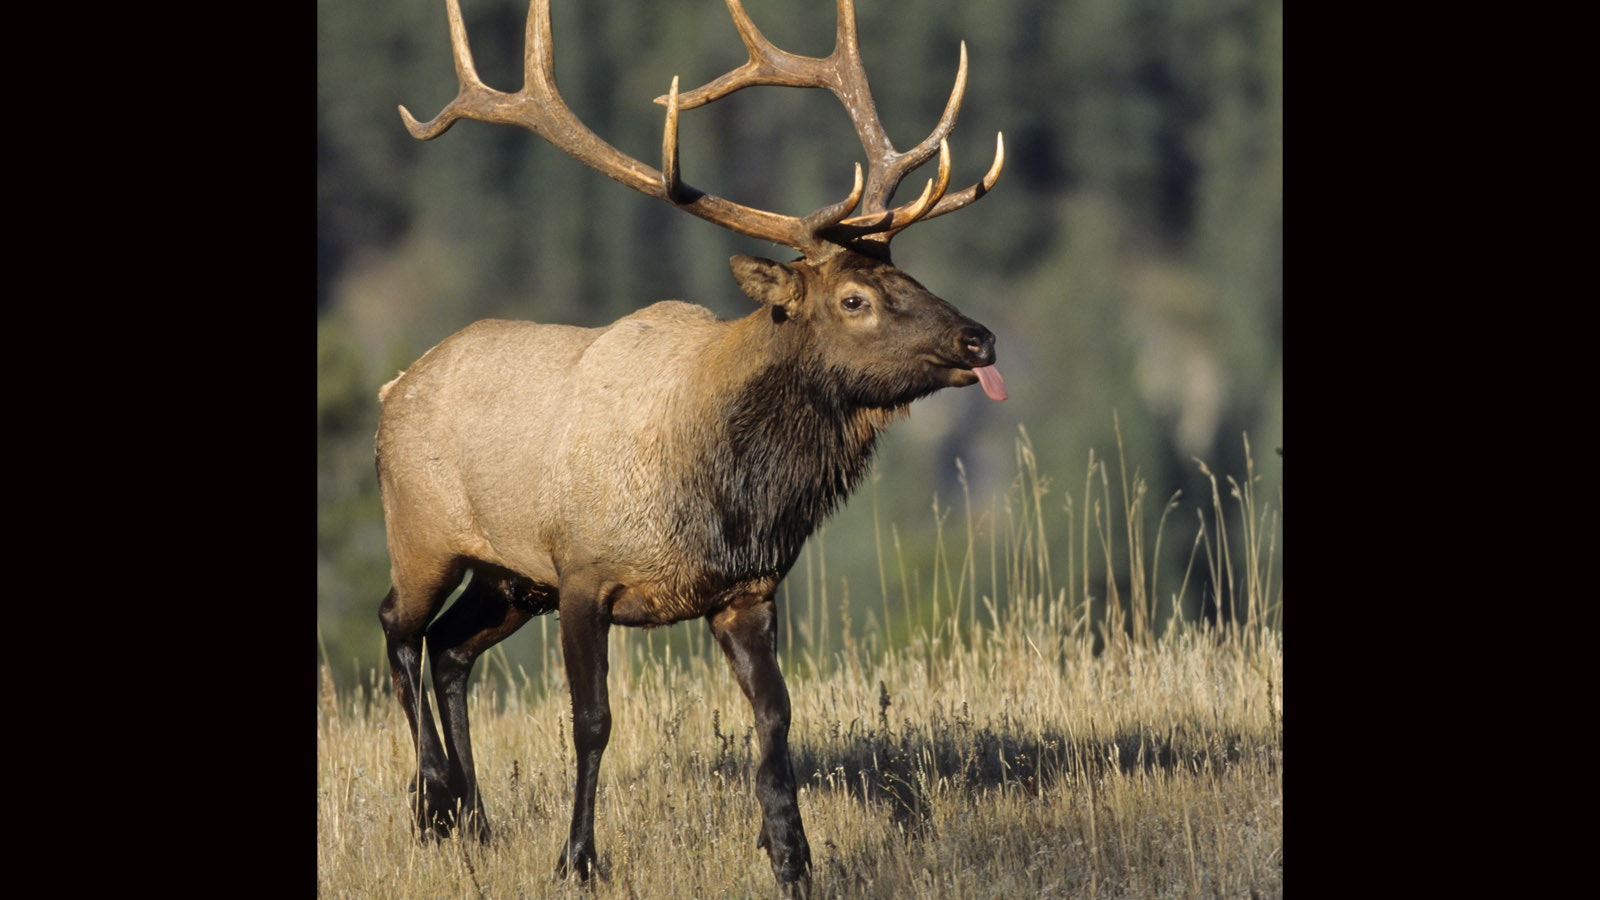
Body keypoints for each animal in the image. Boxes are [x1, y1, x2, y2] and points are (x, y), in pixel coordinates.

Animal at [379, 0, 1006, 893]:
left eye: (908, 276)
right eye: (854, 298)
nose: (980, 338)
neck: (726, 494)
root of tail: (394, 387)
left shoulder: (746, 589)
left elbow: (775, 713)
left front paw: (792, 856)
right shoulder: (584, 571)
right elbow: (592, 719)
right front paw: (577, 859)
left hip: (510, 578)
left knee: (449, 648)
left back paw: (475, 816)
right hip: (425, 533)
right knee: (398, 627)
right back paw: (432, 803)